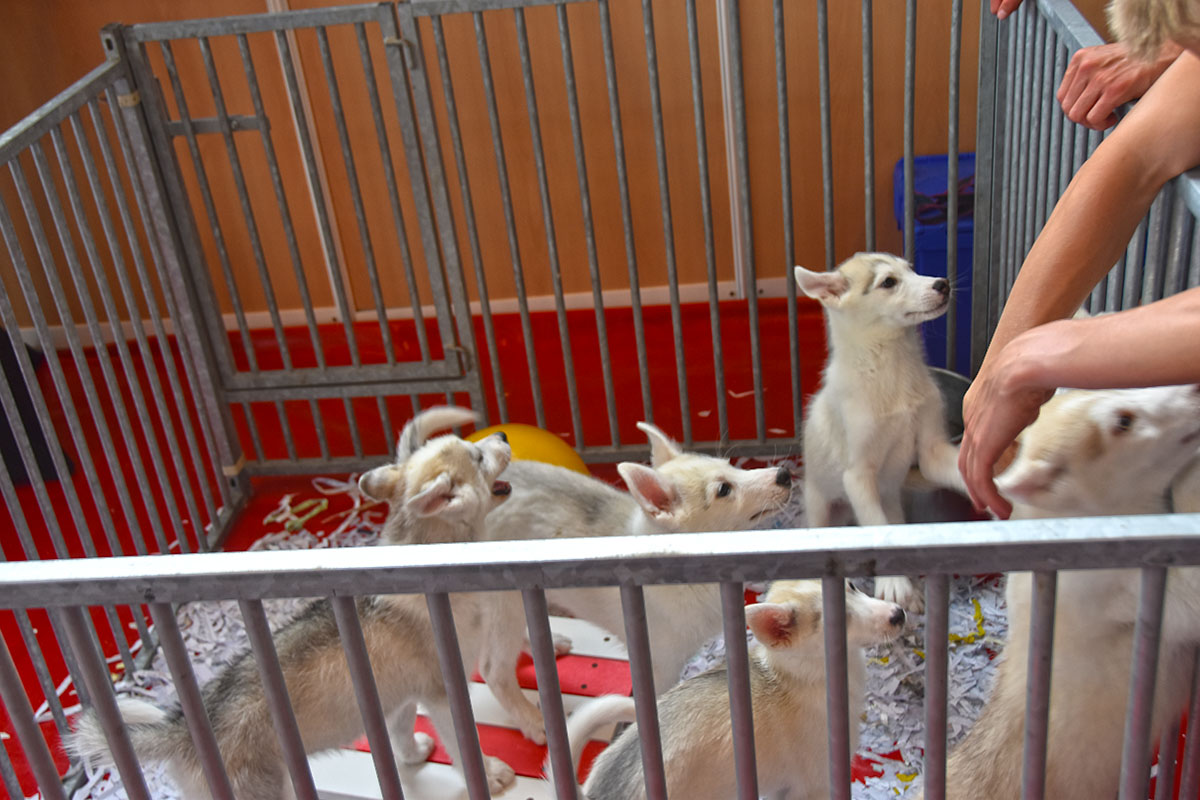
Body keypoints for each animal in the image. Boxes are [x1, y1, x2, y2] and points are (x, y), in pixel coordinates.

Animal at [69, 407, 519, 800]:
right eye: (478, 458)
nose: (502, 435)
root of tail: (182, 732)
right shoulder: (444, 692)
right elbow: (464, 746)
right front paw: (490, 774)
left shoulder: (399, 696)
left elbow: (400, 731)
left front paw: (413, 756)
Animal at [469, 421, 794, 745]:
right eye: (724, 490)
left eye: (730, 465)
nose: (784, 474)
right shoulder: (660, 663)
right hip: (504, 600)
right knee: (492, 667)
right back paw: (532, 721)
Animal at [795, 252, 967, 611]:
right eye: (888, 282)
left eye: (912, 269)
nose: (942, 284)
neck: (892, 367)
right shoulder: (858, 474)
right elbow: (878, 527)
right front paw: (895, 583)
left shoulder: (932, 452)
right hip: (820, 507)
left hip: (891, 501)